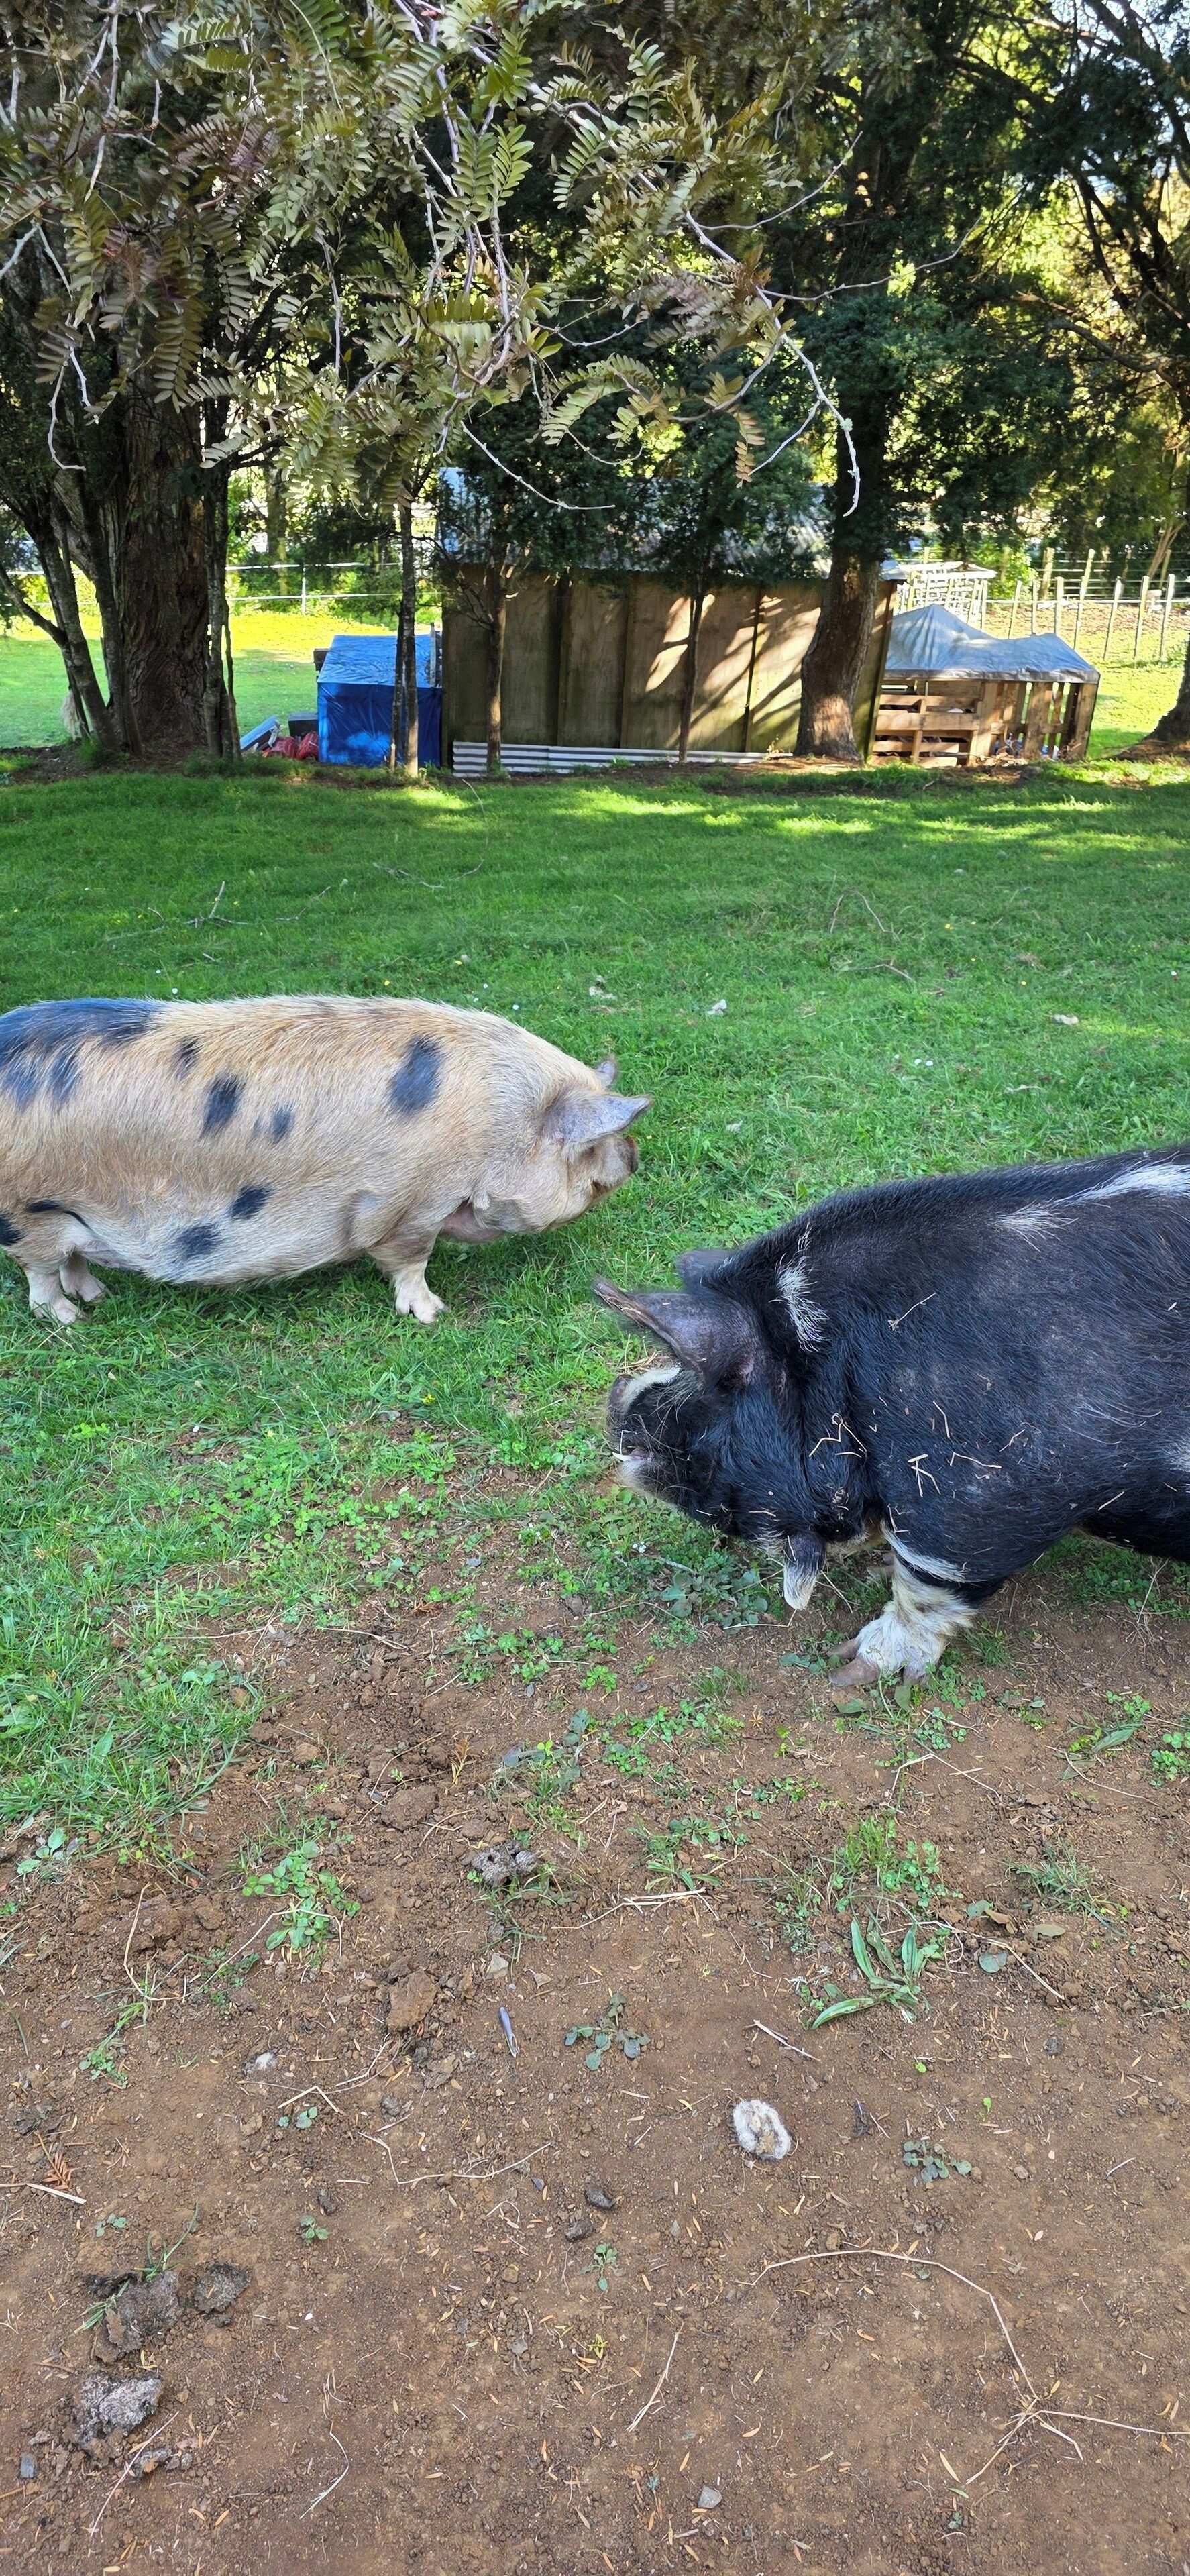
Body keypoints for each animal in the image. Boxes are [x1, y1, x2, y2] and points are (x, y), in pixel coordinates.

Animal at [0, 994, 648, 1326]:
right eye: (593, 1149)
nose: (635, 1155)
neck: (498, 1127)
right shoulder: (412, 1204)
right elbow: (410, 1260)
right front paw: (432, 1313)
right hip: (29, 1213)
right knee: (39, 1276)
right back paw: (70, 1319)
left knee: (74, 1258)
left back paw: (98, 1298)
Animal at [595, 1146, 1190, 1682]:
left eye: (707, 1389)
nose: (617, 1404)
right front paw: (878, 1571)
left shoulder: (980, 1499)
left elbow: (930, 1585)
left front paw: (851, 1671)